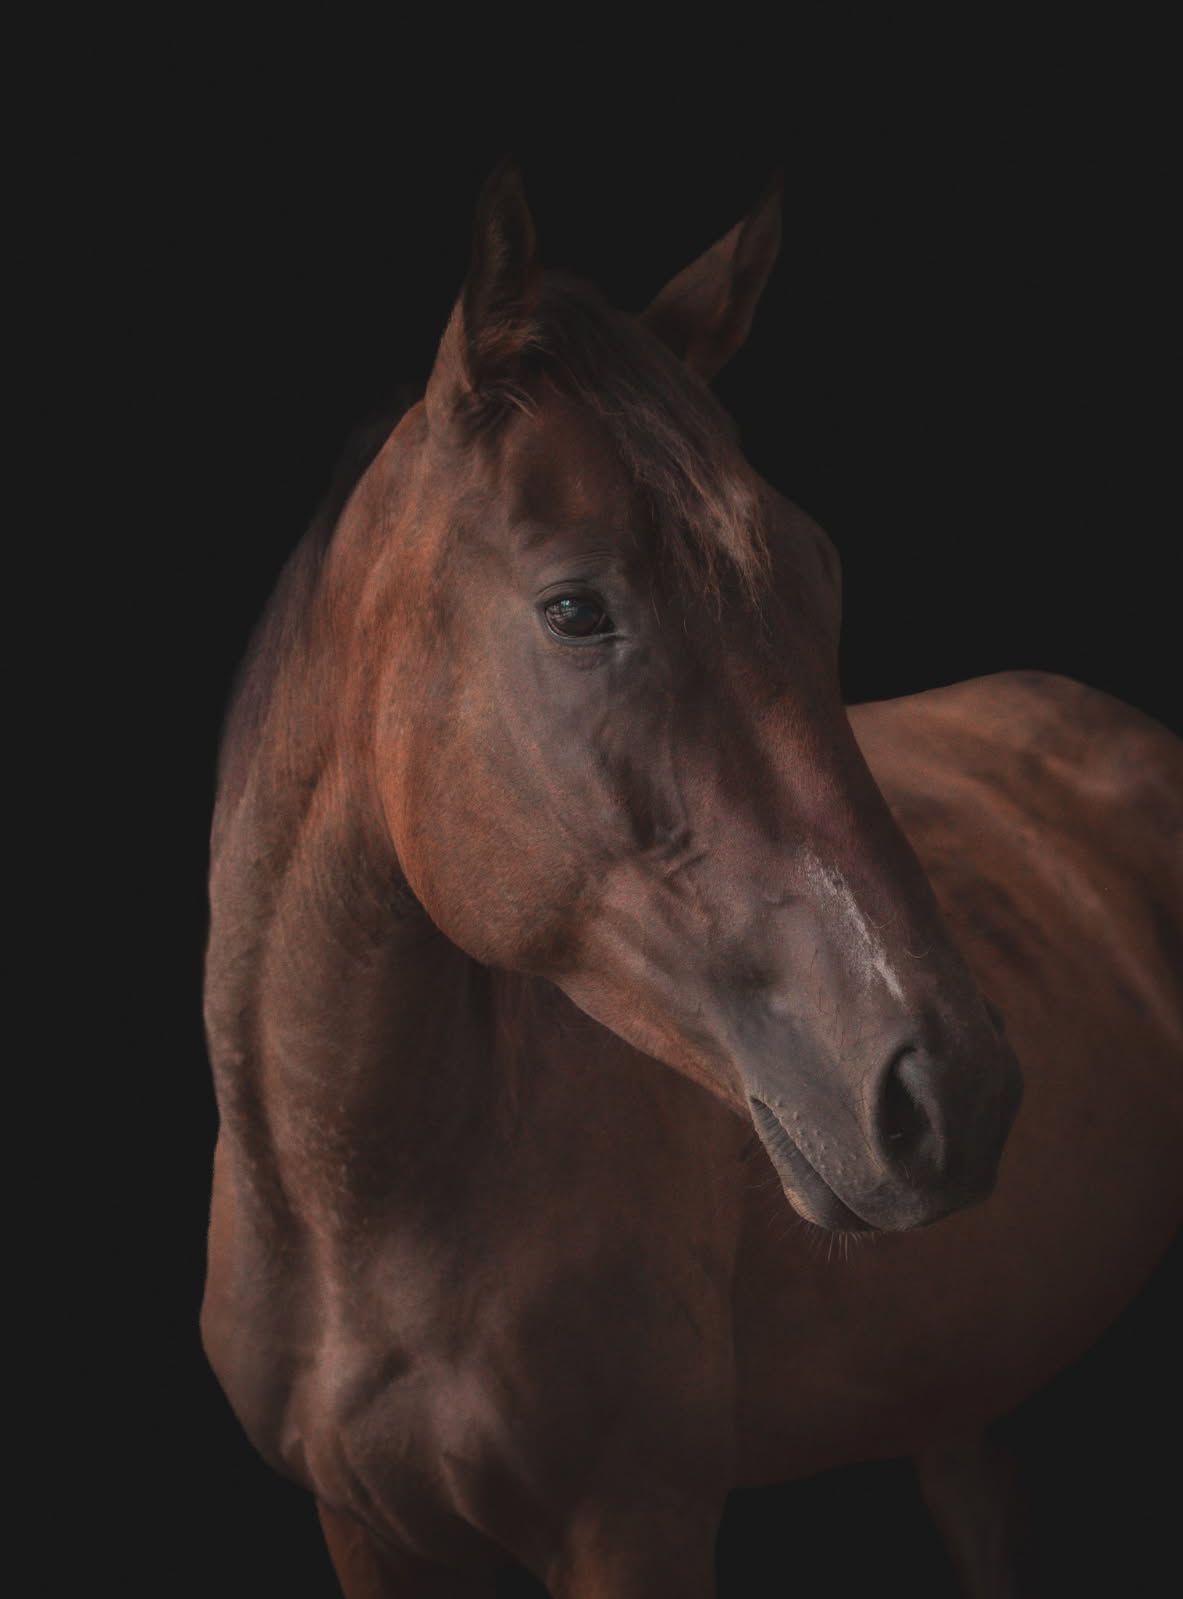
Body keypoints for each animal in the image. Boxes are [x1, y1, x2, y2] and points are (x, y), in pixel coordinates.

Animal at [201, 164, 1182, 1598]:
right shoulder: (363, 1531)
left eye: (821, 574)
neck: (354, 1212)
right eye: (573, 607)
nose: (956, 1091)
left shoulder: (635, 1524)